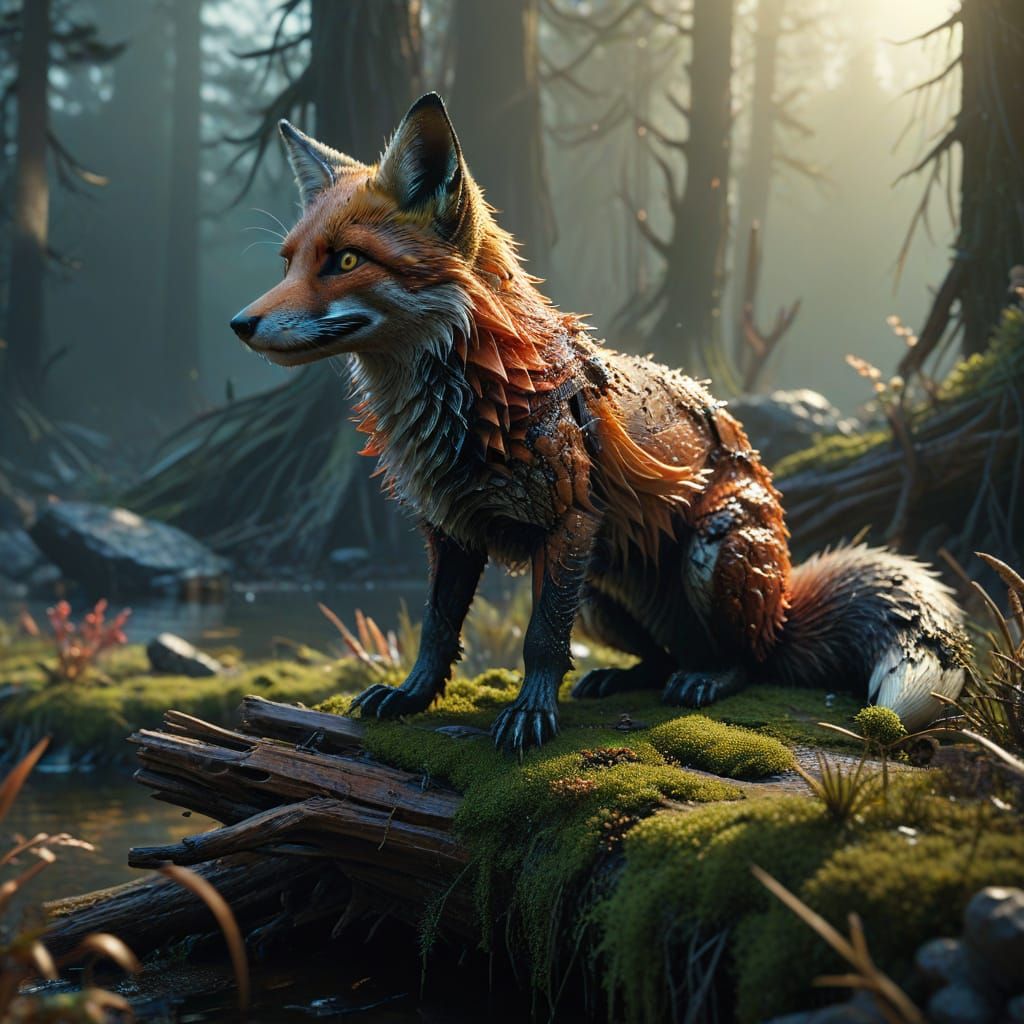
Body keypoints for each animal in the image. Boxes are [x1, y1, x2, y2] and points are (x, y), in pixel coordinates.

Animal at [230, 92, 968, 753]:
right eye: (289, 261)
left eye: (347, 260)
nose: (240, 324)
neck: (477, 396)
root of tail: (784, 606)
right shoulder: (451, 529)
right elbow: (437, 631)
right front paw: (412, 697)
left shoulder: (571, 522)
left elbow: (539, 641)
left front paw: (530, 715)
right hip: (603, 590)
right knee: (664, 655)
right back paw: (622, 676)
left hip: (707, 548)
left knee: (752, 659)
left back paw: (709, 678)